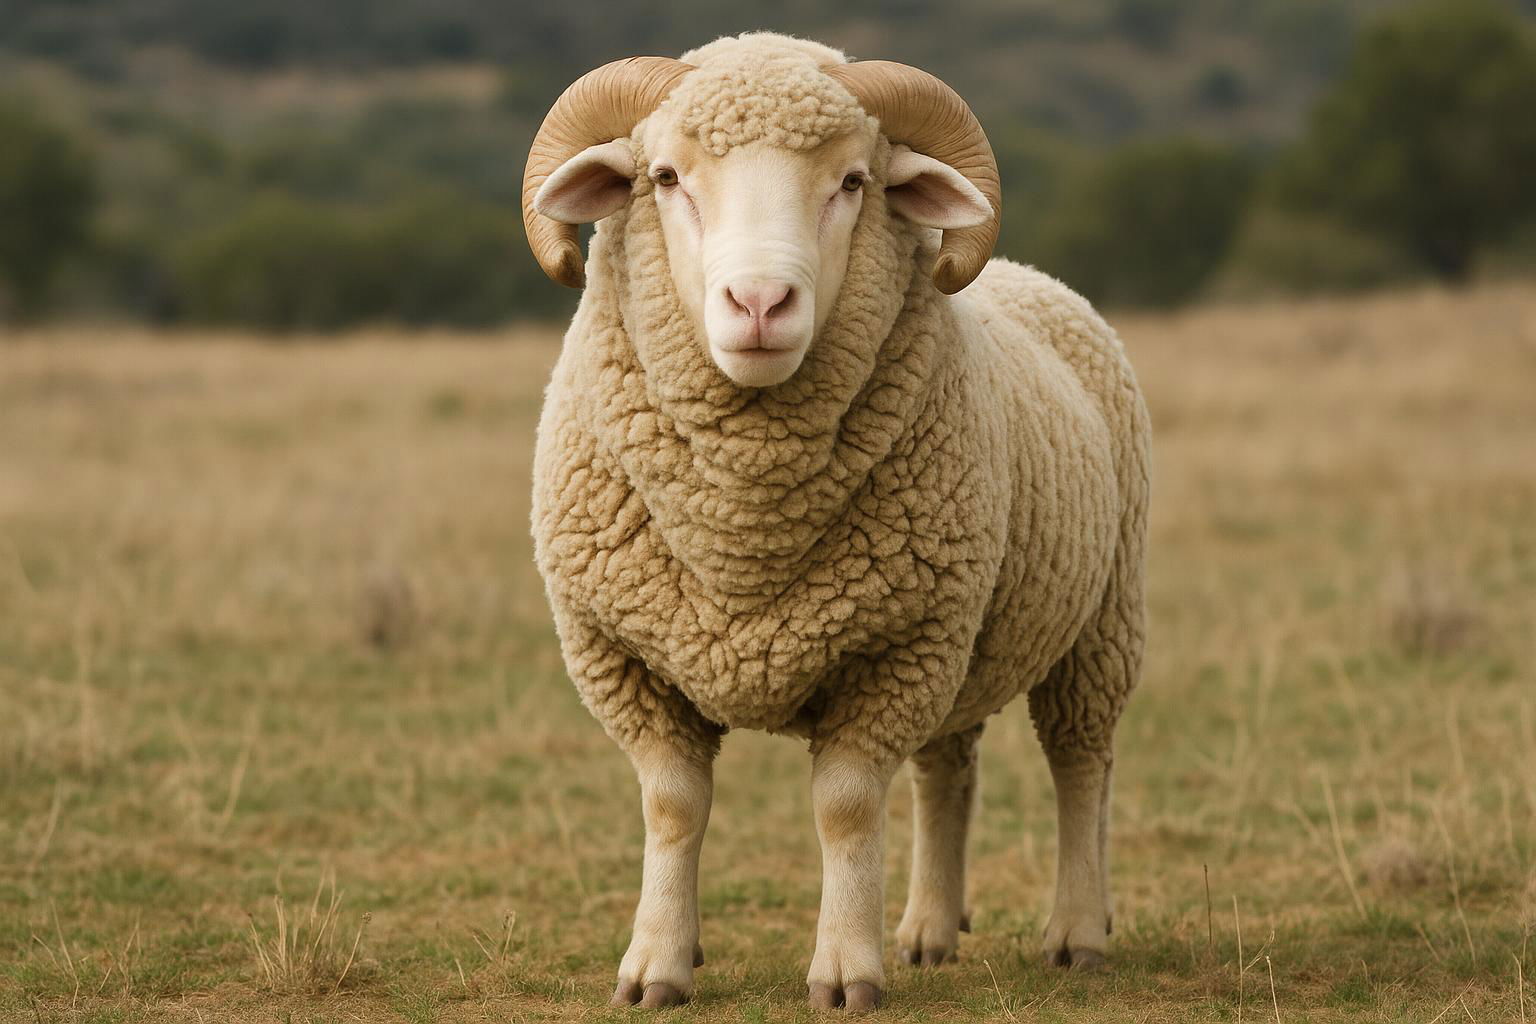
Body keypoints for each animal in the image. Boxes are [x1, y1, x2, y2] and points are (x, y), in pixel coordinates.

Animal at [522, 32, 1150, 1012]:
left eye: (854, 181)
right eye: (663, 177)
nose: (759, 304)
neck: (744, 531)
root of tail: (1032, 275)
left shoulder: (894, 651)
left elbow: (848, 807)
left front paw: (847, 972)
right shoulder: (623, 654)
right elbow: (673, 805)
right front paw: (656, 964)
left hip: (1097, 618)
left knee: (1081, 762)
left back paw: (1077, 932)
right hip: (963, 641)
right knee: (947, 769)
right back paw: (929, 929)